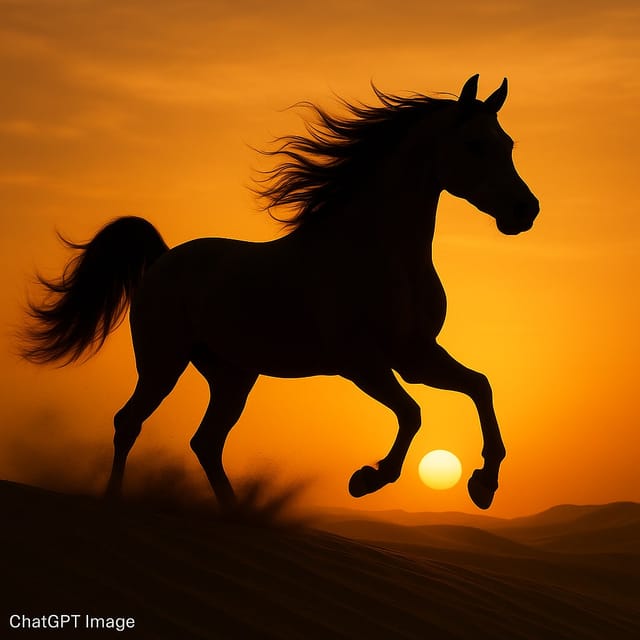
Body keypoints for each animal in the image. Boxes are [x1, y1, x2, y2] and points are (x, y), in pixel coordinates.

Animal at [22, 75, 539, 511]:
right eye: (475, 145)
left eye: (509, 145)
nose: (525, 210)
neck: (377, 253)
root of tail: (165, 259)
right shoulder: (360, 361)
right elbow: (412, 413)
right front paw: (368, 479)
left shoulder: (414, 354)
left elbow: (480, 386)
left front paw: (483, 485)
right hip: (162, 361)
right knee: (129, 422)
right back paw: (114, 500)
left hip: (232, 375)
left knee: (205, 442)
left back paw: (237, 515)